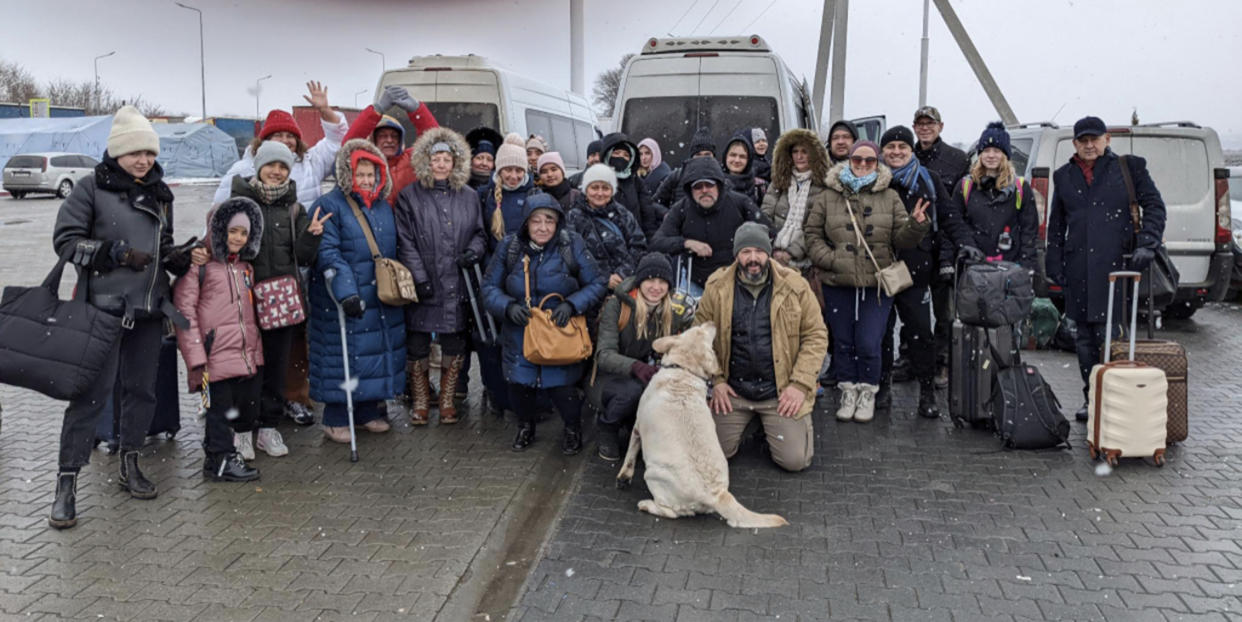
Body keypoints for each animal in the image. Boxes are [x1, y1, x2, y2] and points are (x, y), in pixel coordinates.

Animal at [618, 322, 784, 526]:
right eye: (698, 329)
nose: (712, 323)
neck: (683, 370)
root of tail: (717, 495)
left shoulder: (637, 427)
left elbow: (630, 454)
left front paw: (623, 476)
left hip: (653, 474)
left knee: (671, 512)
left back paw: (646, 504)